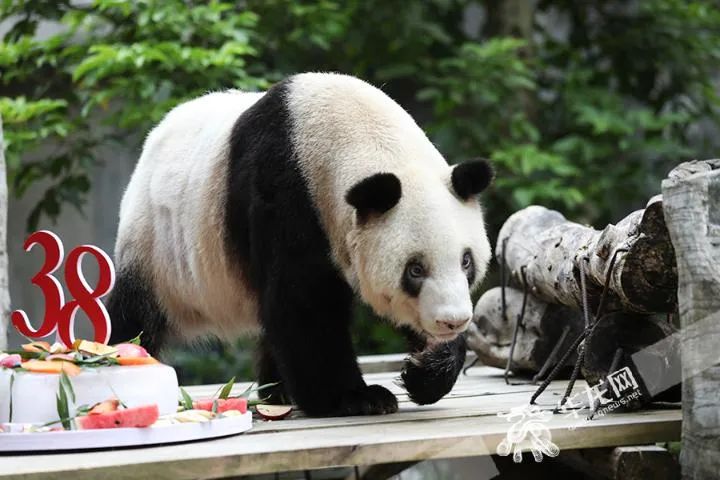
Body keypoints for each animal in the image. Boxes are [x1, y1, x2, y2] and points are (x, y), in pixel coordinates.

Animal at [109, 72, 496, 416]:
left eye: (466, 261)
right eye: (415, 269)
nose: (452, 321)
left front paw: (425, 368)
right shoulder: (287, 195)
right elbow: (303, 303)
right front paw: (356, 398)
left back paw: (275, 391)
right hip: (156, 244)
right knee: (134, 315)